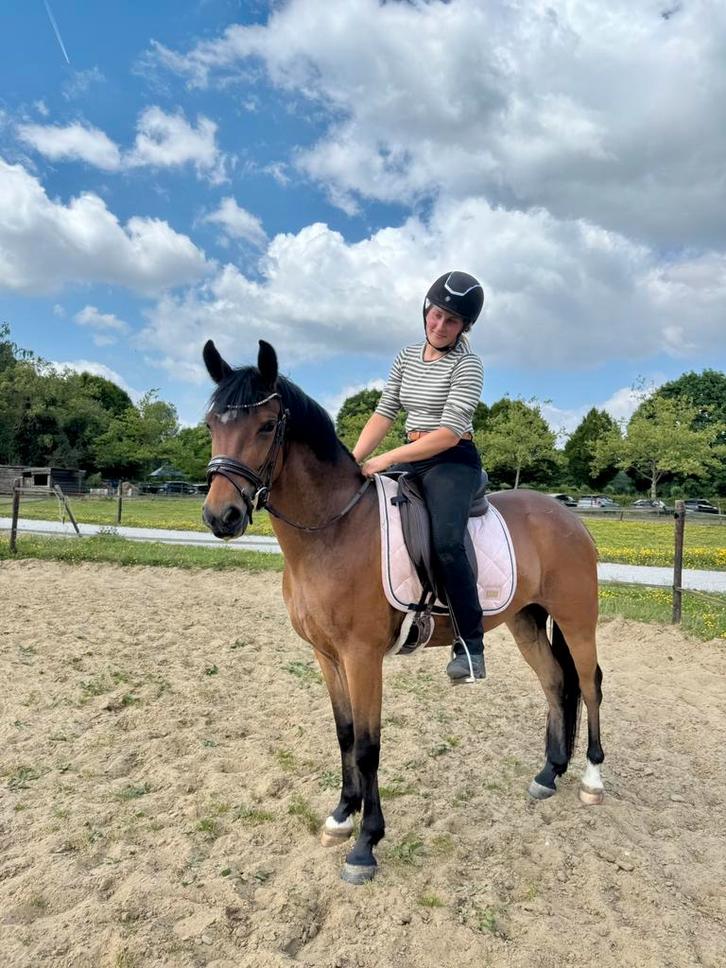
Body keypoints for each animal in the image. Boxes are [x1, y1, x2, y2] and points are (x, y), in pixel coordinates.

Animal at [202, 339, 605, 885]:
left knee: (588, 683)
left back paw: (591, 778)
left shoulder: (362, 657)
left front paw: (365, 845)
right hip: (525, 620)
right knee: (555, 683)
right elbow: (345, 734)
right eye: (211, 424)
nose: (220, 516)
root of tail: (568, 515)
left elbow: (368, 745)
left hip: (577, 620)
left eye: (266, 426)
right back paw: (549, 773)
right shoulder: (327, 656)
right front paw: (341, 817)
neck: (332, 531)